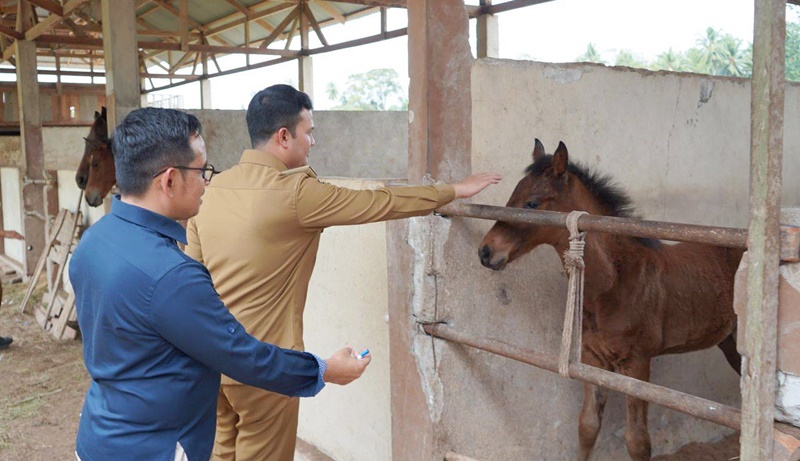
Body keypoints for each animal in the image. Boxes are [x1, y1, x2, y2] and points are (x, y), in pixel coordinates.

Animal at [476, 140, 744, 460]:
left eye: (532, 204)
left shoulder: (637, 364)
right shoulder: (593, 358)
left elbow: (638, 441)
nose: (486, 252)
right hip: (730, 343)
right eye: (511, 196)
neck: (613, 284)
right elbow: (588, 426)